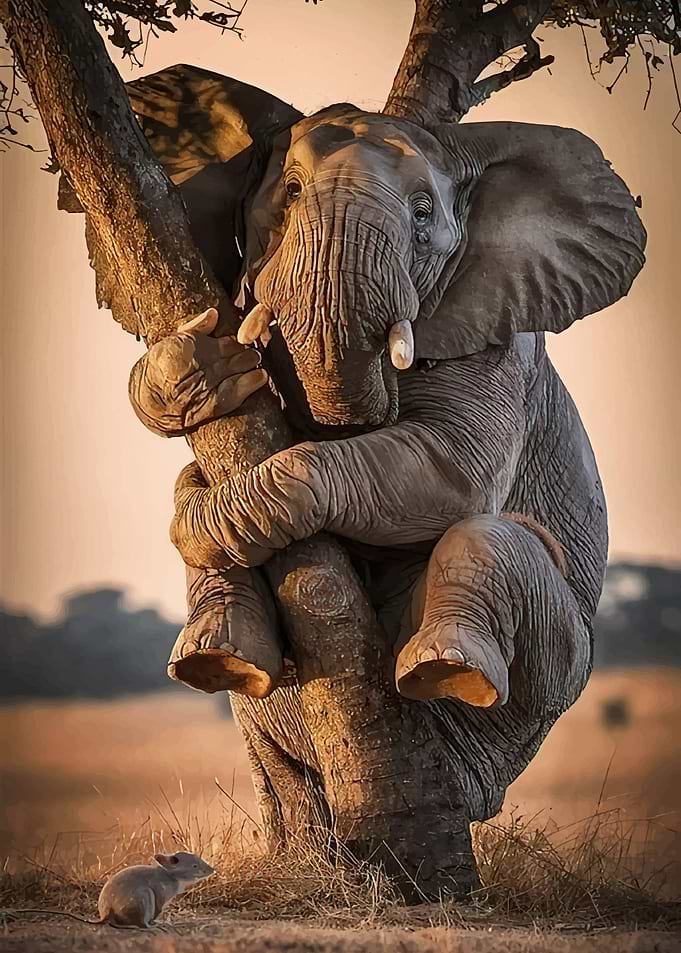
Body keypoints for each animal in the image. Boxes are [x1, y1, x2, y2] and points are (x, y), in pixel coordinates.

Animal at [119, 65, 645, 859]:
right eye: (289, 192)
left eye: (423, 215)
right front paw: (203, 367)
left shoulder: (497, 335)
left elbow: (453, 469)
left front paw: (207, 520)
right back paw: (219, 659)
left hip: (549, 686)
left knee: (495, 540)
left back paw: (446, 670)